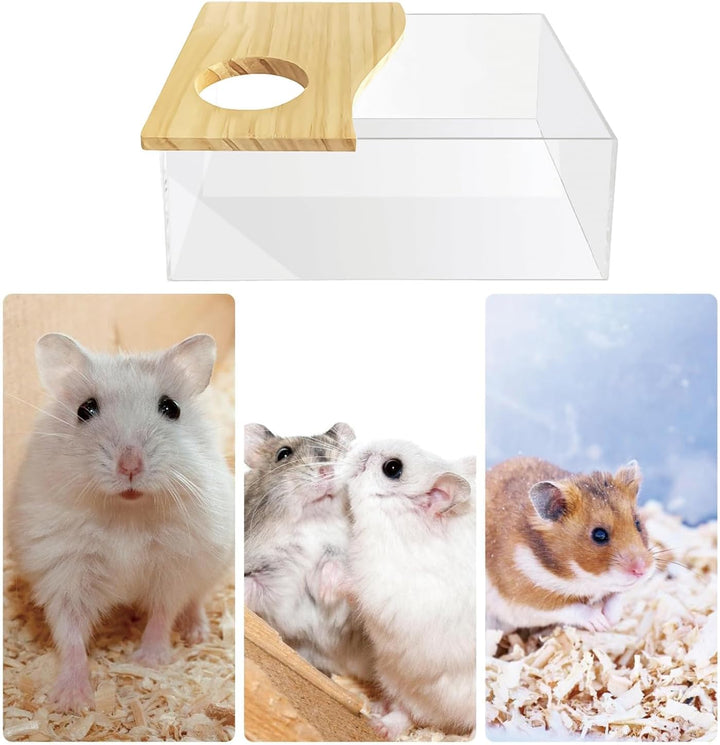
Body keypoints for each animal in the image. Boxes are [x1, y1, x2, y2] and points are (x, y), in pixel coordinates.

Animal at [8, 333, 234, 712]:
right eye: (85, 410)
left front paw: (149, 661)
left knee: (196, 600)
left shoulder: (175, 566)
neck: (128, 513)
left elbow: (163, 612)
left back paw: (196, 633)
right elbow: (70, 634)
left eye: (171, 408)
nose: (130, 466)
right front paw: (72, 701)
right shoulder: (65, 572)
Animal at [244, 422, 371, 680]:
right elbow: (253, 586)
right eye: (283, 454)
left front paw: (322, 589)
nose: (327, 470)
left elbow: (338, 567)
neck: (315, 523)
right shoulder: (273, 582)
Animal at [340, 439, 476, 739]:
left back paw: (379, 727)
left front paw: (324, 575)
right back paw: (377, 712)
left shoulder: (387, 589)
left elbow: (357, 587)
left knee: (410, 715)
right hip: (393, 674)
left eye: (392, 468)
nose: (355, 447)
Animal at [486, 457, 655, 635]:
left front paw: (610, 621)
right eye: (599, 535)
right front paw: (600, 623)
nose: (642, 570)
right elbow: (573, 608)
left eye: (637, 523)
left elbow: (617, 596)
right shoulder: (527, 600)